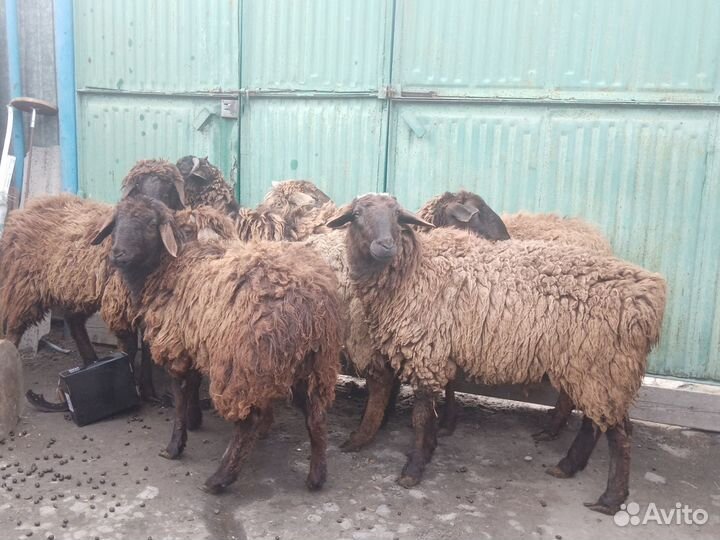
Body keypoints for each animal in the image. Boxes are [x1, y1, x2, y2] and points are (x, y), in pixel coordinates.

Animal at [0, 160, 186, 401]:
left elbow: (145, 348)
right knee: (14, 328)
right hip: (24, 287)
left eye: (168, 188)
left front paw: (148, 391)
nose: (118, 254)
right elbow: (129, 346)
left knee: (74, 322)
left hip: (73, 288)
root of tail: (26, 209)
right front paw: (132, 385)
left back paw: (90, 360)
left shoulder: (145, 309)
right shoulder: (118, 305)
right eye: (138, 185)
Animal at [91, 195, 344, 493]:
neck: (171, 266)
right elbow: (192, 386)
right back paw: (316, 476)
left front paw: (175, 445)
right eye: (117, 221)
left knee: (249, 420)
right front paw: (194, 420)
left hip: (245, 362)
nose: (118, 254)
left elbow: (180, 396)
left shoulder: (175, 345)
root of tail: (310, 303)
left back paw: (220, 478)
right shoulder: (193, 343)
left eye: (151, 224)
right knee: (316, 415)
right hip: (309, 363)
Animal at [327, 194, 666, 514]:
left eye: (397, 216)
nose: (386, 246)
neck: (415, 270)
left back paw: (611, 498)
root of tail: (650, 297)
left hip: (603, 367)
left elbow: (422, 415)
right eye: (357, 215)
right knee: (596, 423)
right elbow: (435, 405)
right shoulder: (441, 352)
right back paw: (568, 466)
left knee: (619, 434)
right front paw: (434, 443)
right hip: (591, 368)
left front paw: (414, 468)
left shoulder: (427, 351)